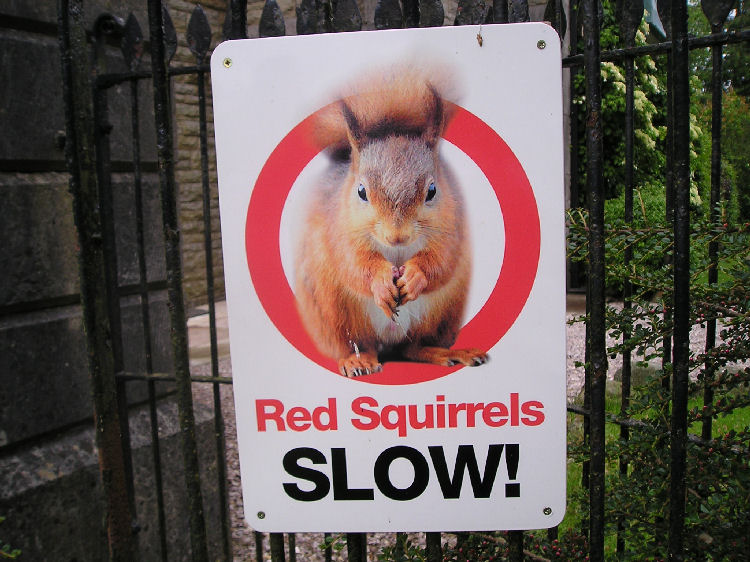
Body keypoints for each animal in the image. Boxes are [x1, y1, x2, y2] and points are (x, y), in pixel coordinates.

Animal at [294, 68, 489, 377]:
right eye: (361, 191)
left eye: (432, 190)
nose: (397, 237)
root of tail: (388, 341)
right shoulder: (337, 228)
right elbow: (353, 263)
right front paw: (380, 282)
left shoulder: (453, 225)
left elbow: (443, 260)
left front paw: (416, 276)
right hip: (332, 310)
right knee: (358, 343)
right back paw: (358, 360)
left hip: (443, 313)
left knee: (413, 347)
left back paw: (448, 352)